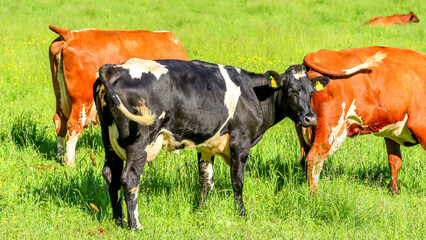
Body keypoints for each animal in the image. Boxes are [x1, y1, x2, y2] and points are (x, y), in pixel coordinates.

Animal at [47, 24, 188, 167]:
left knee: (60, 121)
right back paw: (70, 163)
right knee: (73, 125)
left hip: (60, 97)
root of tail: (71, 34)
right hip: (82, 100)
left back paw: (60, 158)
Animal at [296, 46, 426, 193]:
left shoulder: (391, 131)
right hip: (329, 127)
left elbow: (394, 161)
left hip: (304, 131)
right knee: (314, 158)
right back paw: (314, 194)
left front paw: (394, 191)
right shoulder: (421, 126)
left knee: (304, 159)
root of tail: (318, 53)